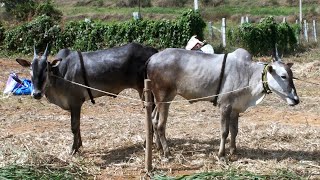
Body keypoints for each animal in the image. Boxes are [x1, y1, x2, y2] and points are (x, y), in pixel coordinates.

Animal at [16, 43, 159, 154]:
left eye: (46, 68)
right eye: (30, 69)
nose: (36, 93)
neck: (59, 73)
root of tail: (153, 52)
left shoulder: (75, 102)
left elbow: (74, 126)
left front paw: (73, 149)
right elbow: (78, 126)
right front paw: (79, 145)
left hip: (144, 91)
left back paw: (148, 143)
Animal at [146, 47, 298, 159]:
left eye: (292, 76)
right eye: (283, 76)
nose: (296, 99)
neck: (248, 73)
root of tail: (152, 58)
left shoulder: (235, 109)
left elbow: (234, 131)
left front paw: (233, 151)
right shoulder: (225, 106)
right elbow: (225, 131)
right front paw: (221, 154)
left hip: (160, 99)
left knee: (154, 119)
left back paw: (159, 148)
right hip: (164, 98)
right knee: (160, 125)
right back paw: (167, 152)